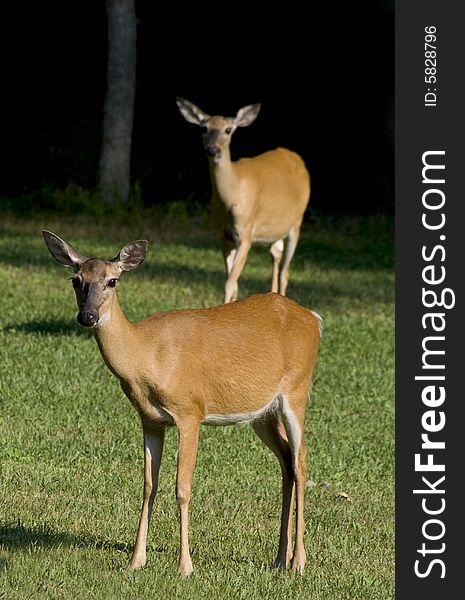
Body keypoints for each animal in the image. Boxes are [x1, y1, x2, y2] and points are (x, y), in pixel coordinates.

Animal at [42, 230, 320, 576]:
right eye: (75, 280)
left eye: (112, 281)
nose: (87, 316)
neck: (146, 358)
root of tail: (314, 319)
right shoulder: (149, 419)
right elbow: (149, 484)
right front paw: (136, 560)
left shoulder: (190, 411)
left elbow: (182, 487)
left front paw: (185, 566)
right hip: (262, 412)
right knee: (286, 461)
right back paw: (280, 558)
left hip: (297, 388)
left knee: (301, 459)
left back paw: (299, 561)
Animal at [176, 100, 310, 304]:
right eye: (204, 128)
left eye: (228, 130)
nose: (212, 149)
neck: (231, 197)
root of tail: (297, 159)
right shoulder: (223, 236)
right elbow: (233, 282)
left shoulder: (245, 234)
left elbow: (229, 283)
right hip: (273, 231)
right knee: (276, 255)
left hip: (296, 223)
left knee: (285, 272)